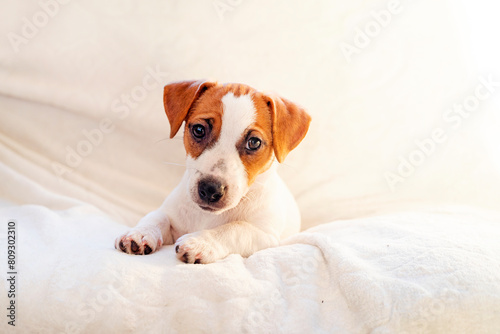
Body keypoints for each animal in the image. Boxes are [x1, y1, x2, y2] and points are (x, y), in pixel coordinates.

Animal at [114, 80, 308, 264]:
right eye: (199, 130)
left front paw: (200, 242)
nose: (210, 189)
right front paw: (140, 232)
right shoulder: (174, 217)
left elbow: (234, 229)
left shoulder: (265, 236)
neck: (207, 216)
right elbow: (157, 216)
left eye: (254, 142)